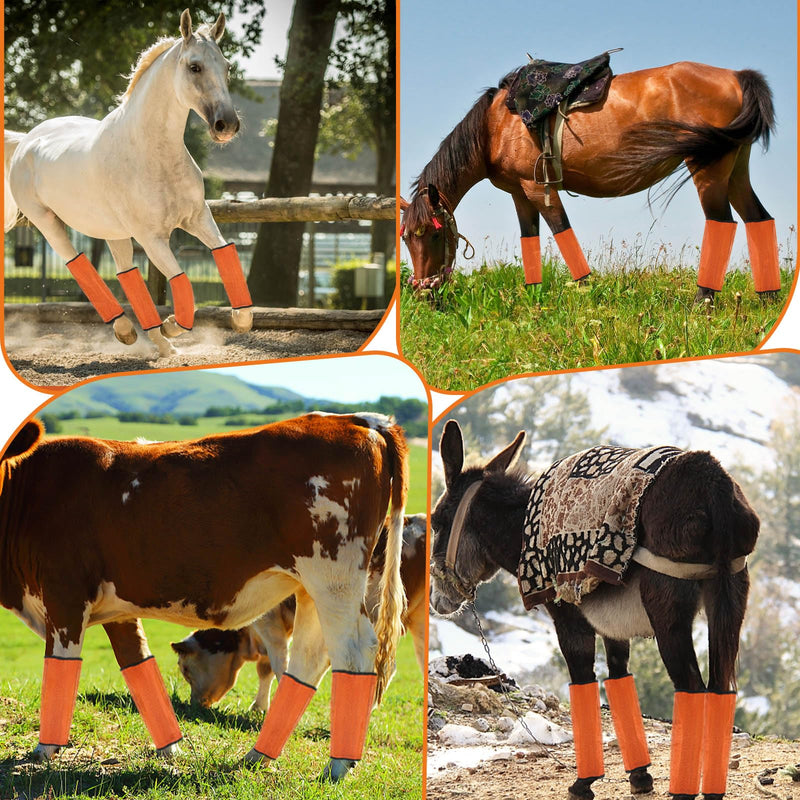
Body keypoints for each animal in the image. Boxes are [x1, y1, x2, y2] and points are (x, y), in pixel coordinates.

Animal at [4, 9, 253, 358]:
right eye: (194, 66)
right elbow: (182, 280)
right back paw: (130, 331)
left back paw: (155, 344)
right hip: (47, 223)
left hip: (114, 233)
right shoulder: (152, 238)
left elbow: (225, 254)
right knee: (77, 264)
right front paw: (173, 325)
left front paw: (240, 321)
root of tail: (25, 141)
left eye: (227, 66)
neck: (153, 153)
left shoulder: (198, 218)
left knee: (126, 274)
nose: (226, 125)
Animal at [402, 59, 781, 301]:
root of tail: (736, 75)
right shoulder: (519, 194)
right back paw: (768, 297)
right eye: (406, 239)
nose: (424, 293)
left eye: (434, 234)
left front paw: (586, 291)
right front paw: (533, 297)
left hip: (708, 169)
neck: (495, 125)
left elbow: (562, 233)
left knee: (721, 223)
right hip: (735, 169)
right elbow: (530, 241)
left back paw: (703, 301)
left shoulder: (537, 189)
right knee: (758, 219)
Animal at [430, 420, 759, 800]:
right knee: (722, 687)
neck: (524, 527)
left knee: (691, 687)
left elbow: (583, 685)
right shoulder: (615, 629)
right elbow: (619, 682)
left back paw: (682, 791)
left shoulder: (570, 620)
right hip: (730, 598)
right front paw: (640, 776)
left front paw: (583, 783)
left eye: (437, 521)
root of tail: (712, 479)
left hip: (667, 610)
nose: (438, 601)